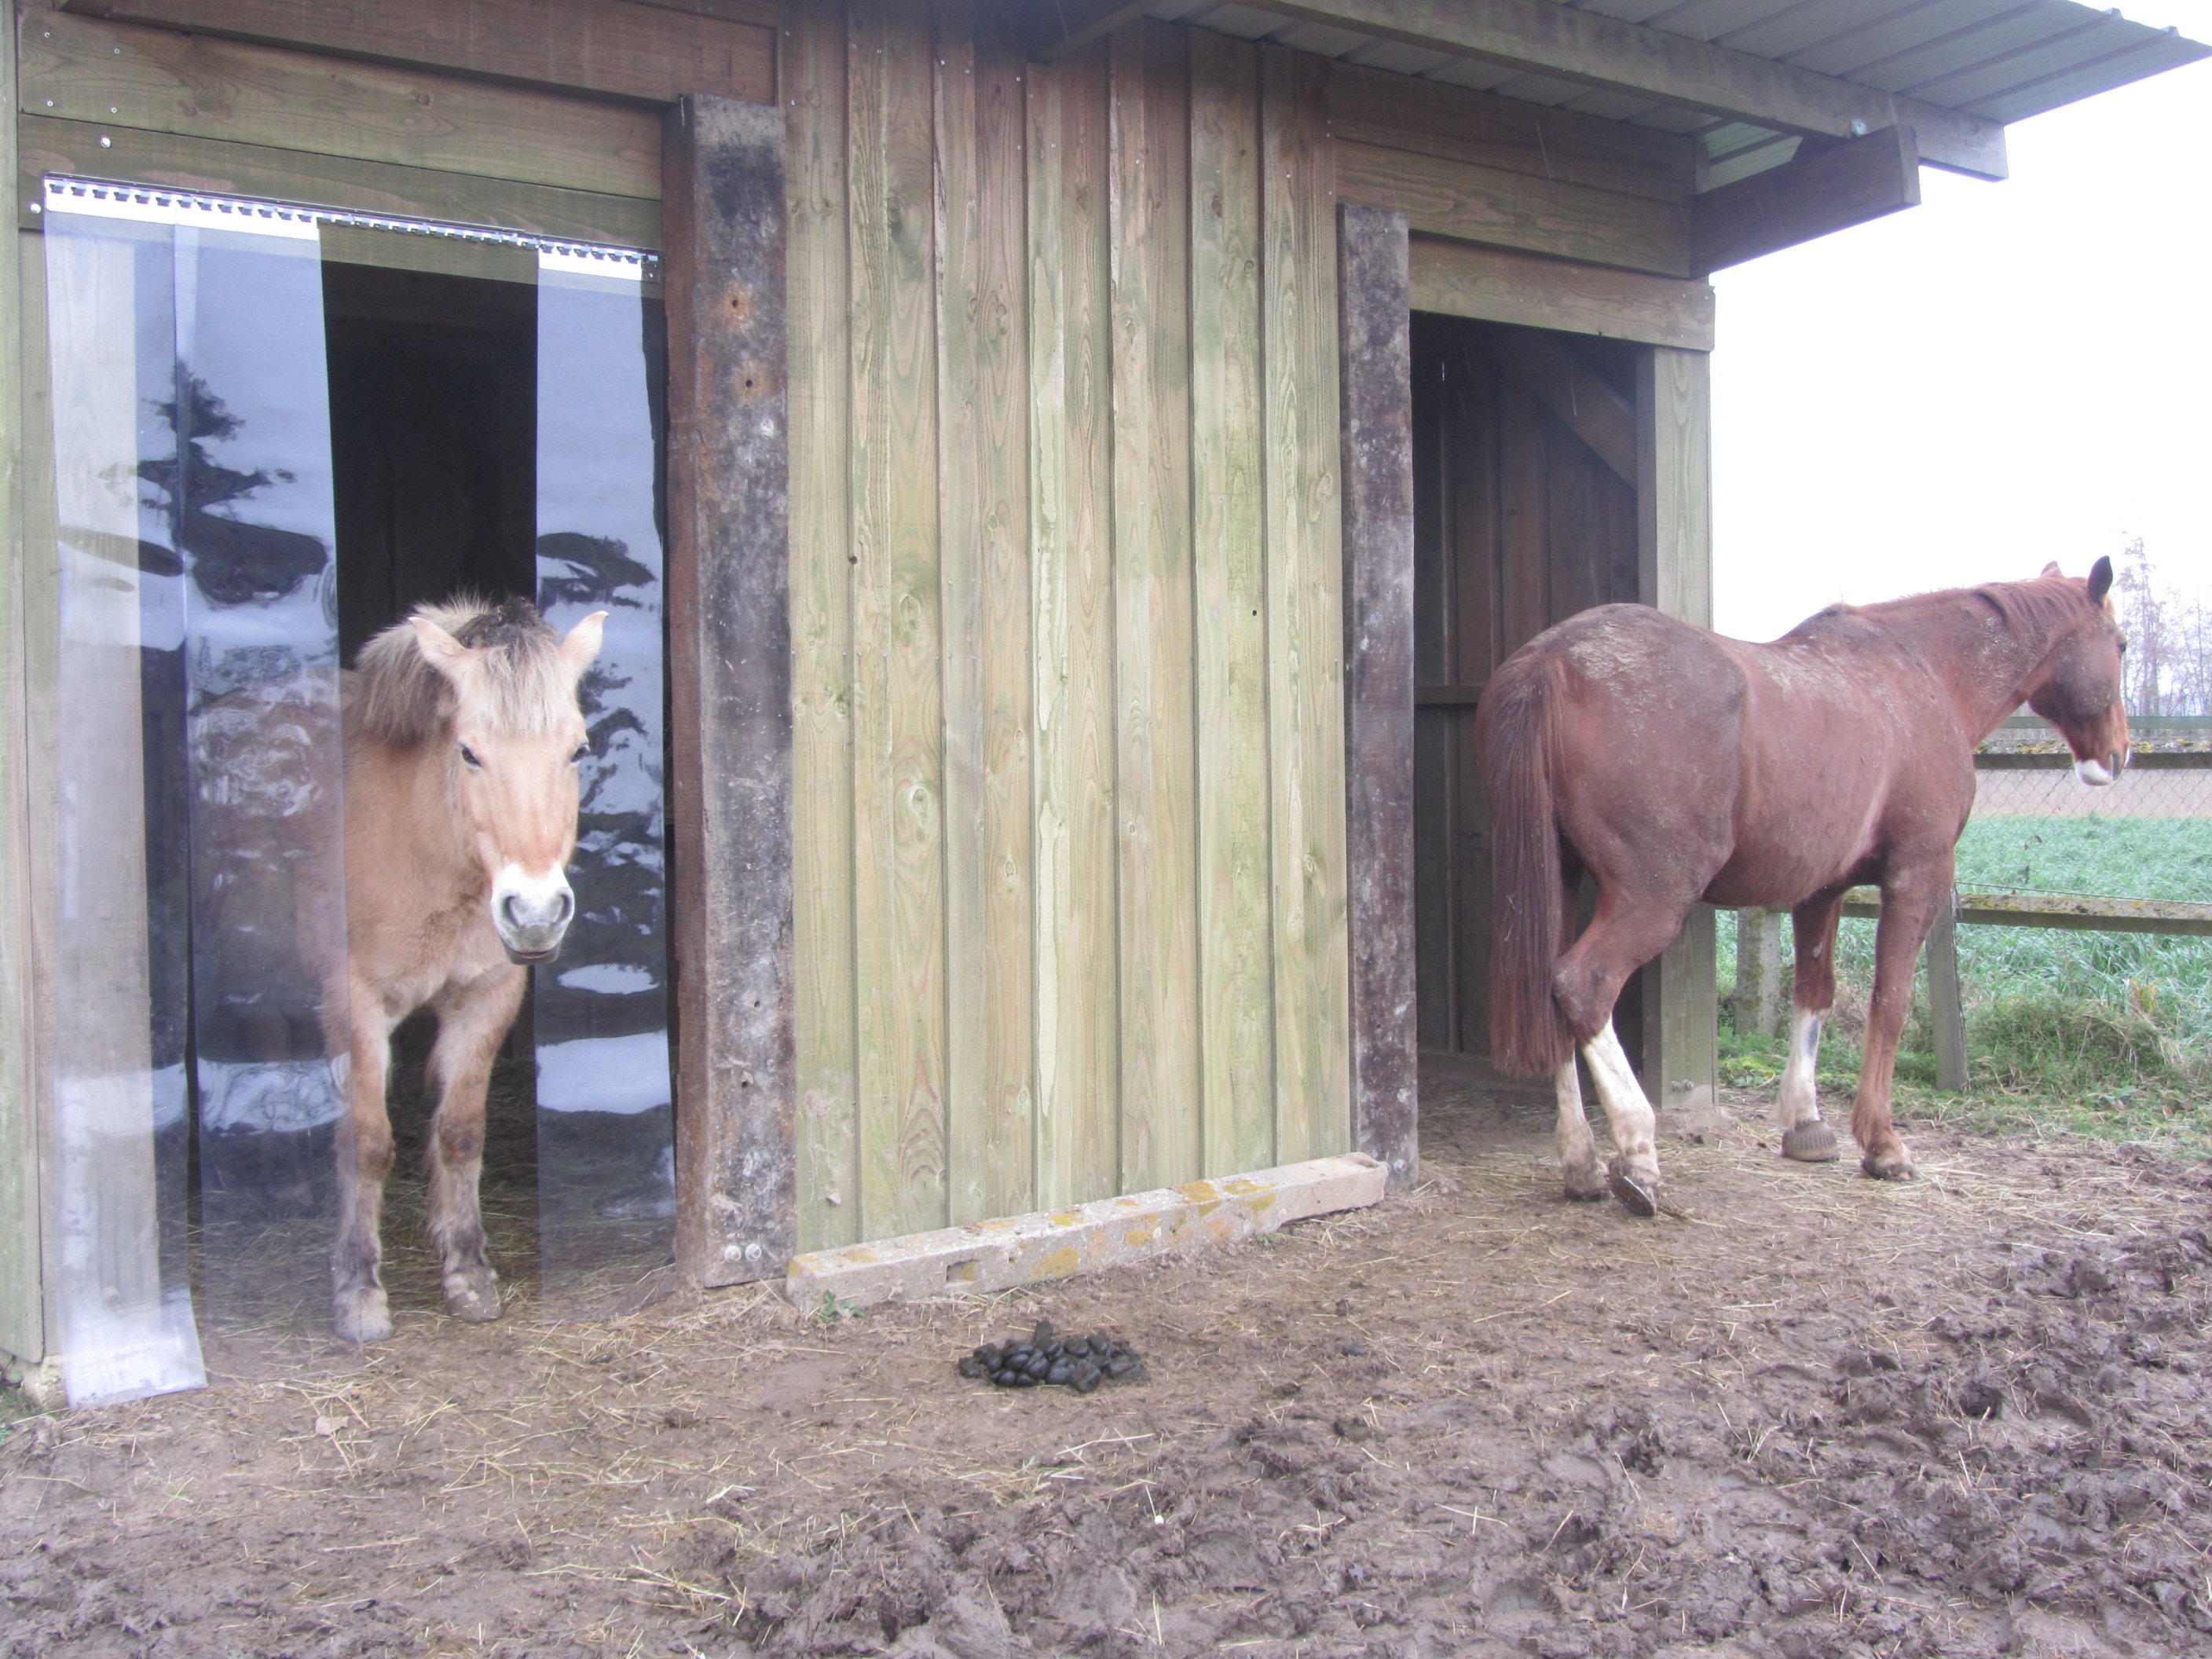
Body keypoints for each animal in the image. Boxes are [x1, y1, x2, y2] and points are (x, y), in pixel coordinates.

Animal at [320, 597, 605, 1342]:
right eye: (469, 752)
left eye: (577, 749)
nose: (534, 912)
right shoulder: (354, 1000)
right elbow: (367, 1141)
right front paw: (358, 1291)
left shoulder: (488, 994)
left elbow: (460, 1132)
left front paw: (469, 1272)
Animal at [1477, 559, 2127, 1217]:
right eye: (2122, 645)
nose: (2117, 755)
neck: (1919, 674)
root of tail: (1552, 661)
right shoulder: (1918, 874)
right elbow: (1890, 1002)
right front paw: (1883, 1144)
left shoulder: (1822, 890)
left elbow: (1816, 992)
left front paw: (1805, 1123)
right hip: (1652, 898)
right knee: (1583, 985)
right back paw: (1638, 1156)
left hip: (1561, 879)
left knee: (1551, 993)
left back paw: (1581, 1164)